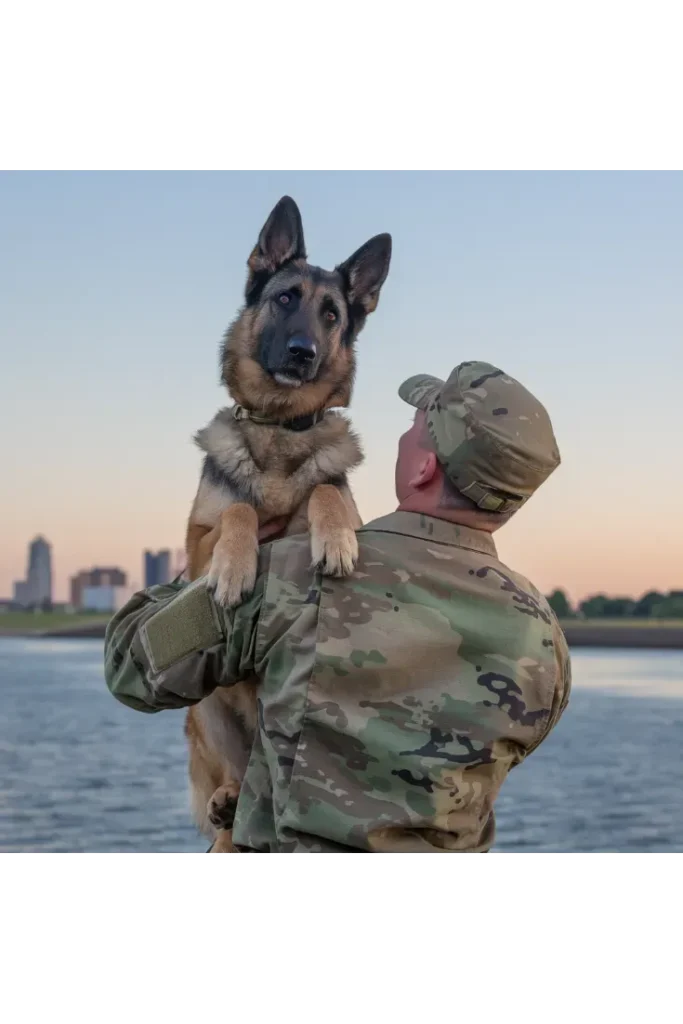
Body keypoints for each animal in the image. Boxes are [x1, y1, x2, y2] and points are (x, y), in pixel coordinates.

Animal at [184, 195, 393, 851]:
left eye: (331, 315)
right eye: (284, 299)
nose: (303, 351)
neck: (278, 428)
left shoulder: (331, 495)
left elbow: (325, 490)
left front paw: (335, 540)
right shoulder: (192, 546)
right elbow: (238, 508)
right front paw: (234, 567)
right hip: (207, 711)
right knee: (229, 777)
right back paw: (226, 802)